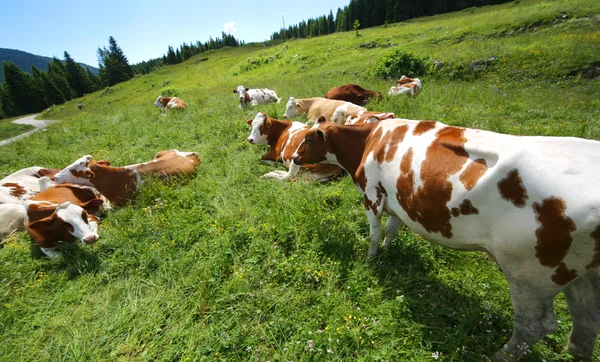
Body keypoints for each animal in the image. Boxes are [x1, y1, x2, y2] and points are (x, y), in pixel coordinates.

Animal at [292, 117, 600, 360]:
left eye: (307, 138)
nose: (293, 158)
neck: (368, 141)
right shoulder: (398, 201)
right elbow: (391, 229)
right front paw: (388, 251)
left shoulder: (372, 197)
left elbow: (375, 233)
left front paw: (371, 258)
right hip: (579, 273)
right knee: (586, 320)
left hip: (529, 272)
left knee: (534, 326)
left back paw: (499, 356)